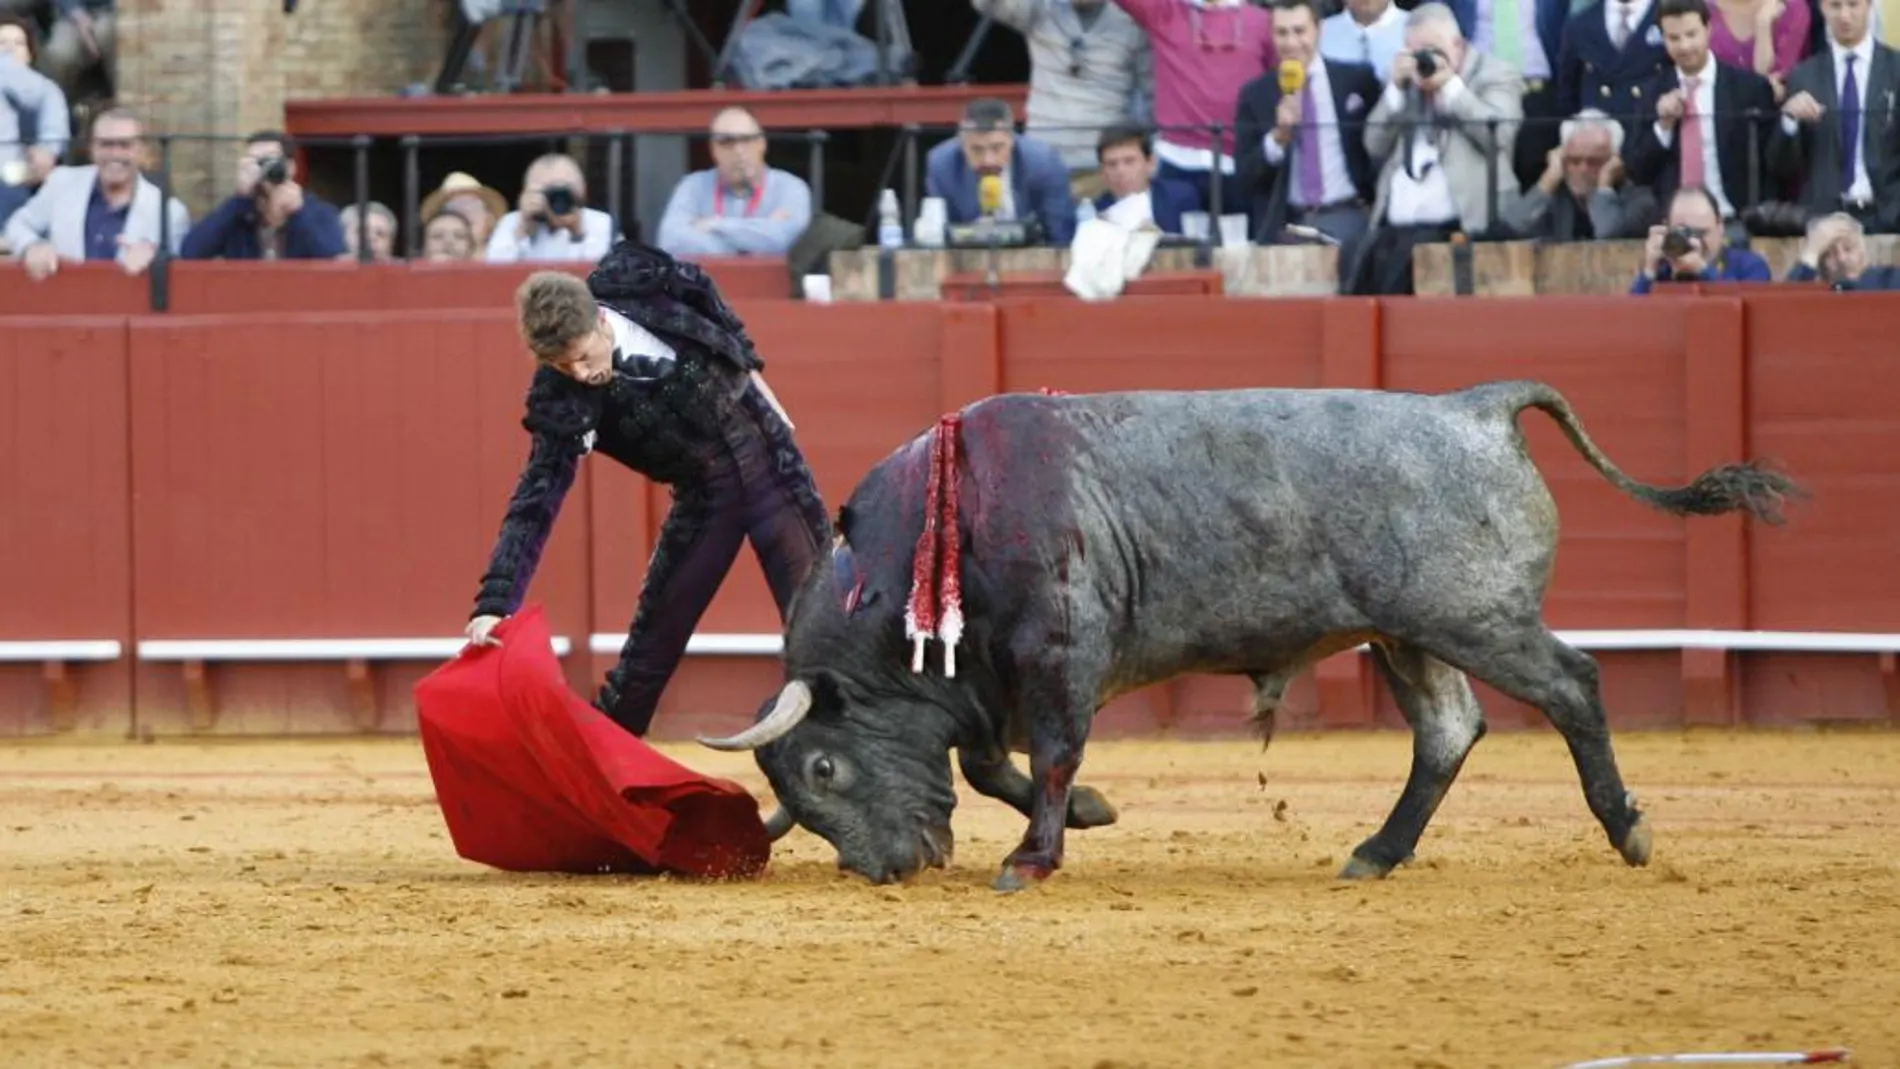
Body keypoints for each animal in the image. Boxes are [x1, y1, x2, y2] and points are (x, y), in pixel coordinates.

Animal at [695, 379, 1793, 892]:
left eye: (825, 769)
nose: (887, 868)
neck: (949, 515)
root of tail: (1473, 406)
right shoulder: (994, 679)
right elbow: (988, 760)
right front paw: (1089, 814)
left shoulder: (1059, 655)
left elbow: (1044, 757)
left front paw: (1034, 856)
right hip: (1407, 632)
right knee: (1447, 731)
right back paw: (1375, 852)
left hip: (1476, 616)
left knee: (1572, 684)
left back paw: (1628, 828)